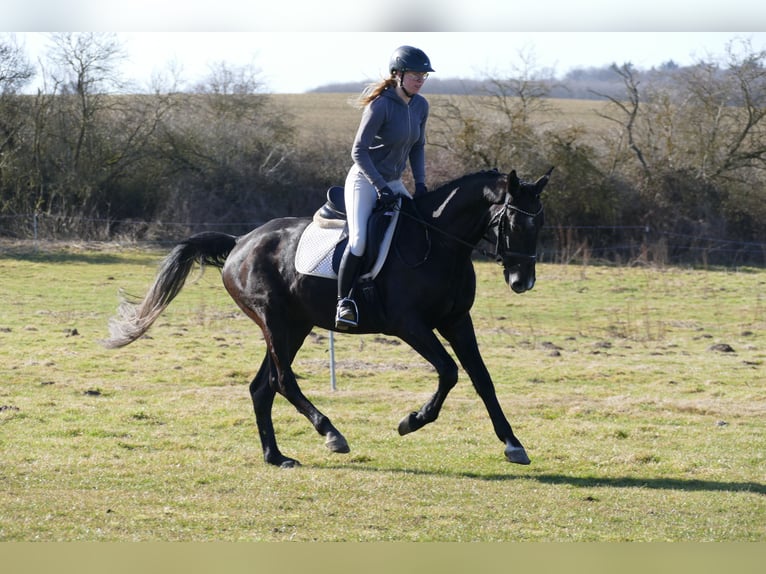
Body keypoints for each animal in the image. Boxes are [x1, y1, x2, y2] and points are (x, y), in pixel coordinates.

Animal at [104, 167, 553, 468]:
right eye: (513, 220)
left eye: (540, 222)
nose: (523, 280)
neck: (438, 243)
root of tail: (240, 242)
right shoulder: (410, 325)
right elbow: (448, 371)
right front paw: (412, 420)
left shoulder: (457, 321)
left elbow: (481, 379)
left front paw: (512, 443)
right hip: (275, 322)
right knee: (282, 381)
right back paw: (331, 433)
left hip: (295, 326)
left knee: (262, 387)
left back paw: (276, 456)